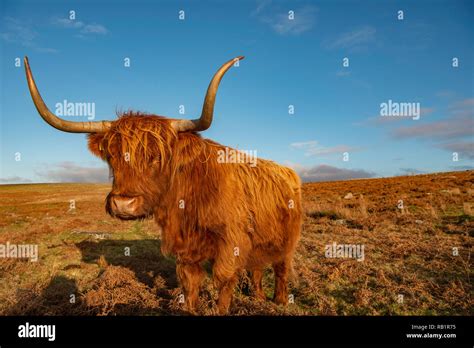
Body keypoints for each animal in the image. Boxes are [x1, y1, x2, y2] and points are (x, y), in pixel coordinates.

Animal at [25, 55, 300, 314]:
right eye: (111, 156)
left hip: (287, 240)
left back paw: (280, 300)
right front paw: (191, 309)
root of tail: (288, 170)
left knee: (282, 267)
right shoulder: (185, 250)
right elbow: (190, 283)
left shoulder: (231, 244)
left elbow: (223, 282)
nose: (123, 204)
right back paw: (259, 297)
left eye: (157, 157)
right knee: (257, 268)